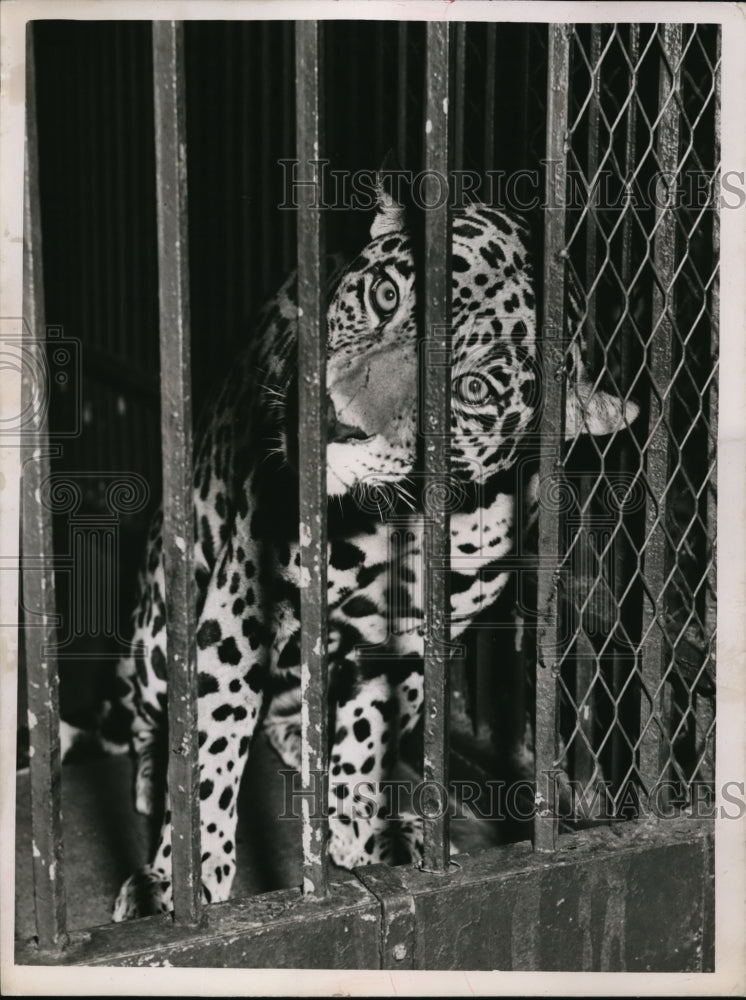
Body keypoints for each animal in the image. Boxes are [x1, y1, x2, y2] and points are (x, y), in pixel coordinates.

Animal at [110, 182, 632, 920]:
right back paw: (156, 781)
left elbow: (364, 741)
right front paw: (179, 878)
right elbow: (213, 746)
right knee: (152, 714)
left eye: (473, 389)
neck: (399, 521)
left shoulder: (408, 642)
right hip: (160, 619)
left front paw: (356, 836)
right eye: (387, 295)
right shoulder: (241, 611)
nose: (335, 420)